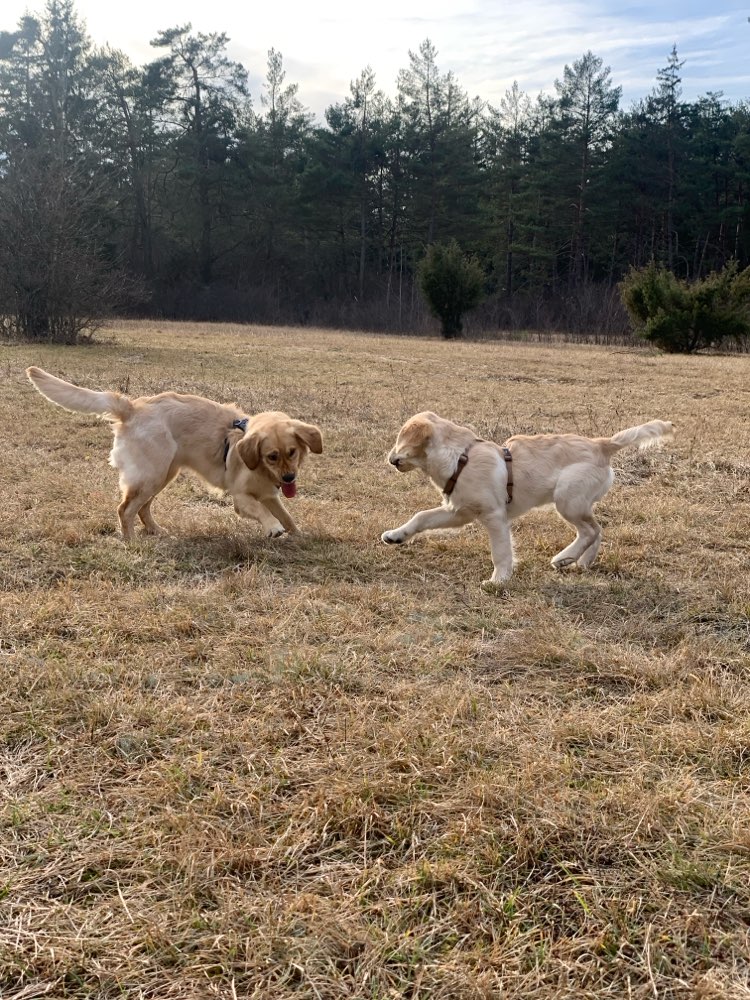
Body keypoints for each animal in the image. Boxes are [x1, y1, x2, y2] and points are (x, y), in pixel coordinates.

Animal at [26, 366, 324, 540]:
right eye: (271, 455)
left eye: (292, 452)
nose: (289, 479)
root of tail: (132, 407)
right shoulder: (241, 497)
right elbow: (263, 512)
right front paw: (272, 528)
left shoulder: (269, 494)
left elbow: (286, 515)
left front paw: (299, 536)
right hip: (152, 475)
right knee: (125, 509)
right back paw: (131, 542)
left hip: (163, 475)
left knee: (142, 509)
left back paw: (156, 531)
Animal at [382, 410, 676, 584]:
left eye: (399, 438)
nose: (389, 458)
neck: (460, 458)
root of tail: (602, 444)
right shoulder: (458, 511)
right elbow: (420, 517)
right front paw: (395, 536)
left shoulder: (494, 516)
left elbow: (500, 552)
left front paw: (498, 580)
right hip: (577, 503)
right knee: (598, 530)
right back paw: (582, 562)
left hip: (567, 500)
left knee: (591, 530)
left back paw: (564, 558)